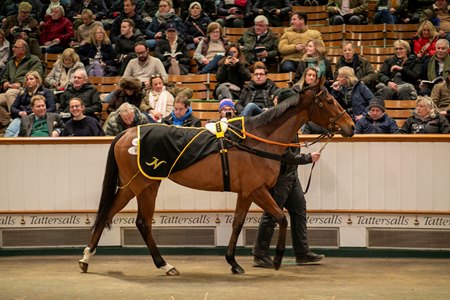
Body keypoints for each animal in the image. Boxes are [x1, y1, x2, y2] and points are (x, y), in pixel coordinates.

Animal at [80, 84, 356, 274]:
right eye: (329, 100)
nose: (351, 126)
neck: (257, 139)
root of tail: (126, 134)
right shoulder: (257, 190)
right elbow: (281, 218)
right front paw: (276, 259)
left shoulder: (246, 193)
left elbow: (238, 223)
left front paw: (233, 262)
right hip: (143, 185)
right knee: (140, 222)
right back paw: (163, 264)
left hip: (136, 186)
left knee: (109, 214)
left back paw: (87, 259)